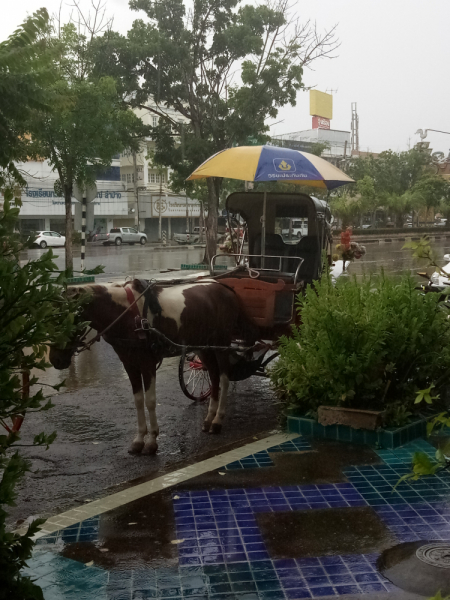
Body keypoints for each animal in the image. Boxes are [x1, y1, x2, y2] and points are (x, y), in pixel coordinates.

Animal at [48, 278, 256, 458]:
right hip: (204, 346)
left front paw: (152, 441)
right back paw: (209, 419)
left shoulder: (147, 364)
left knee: (224, 379)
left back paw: (218, 420)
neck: (126, 314)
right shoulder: (130, 364)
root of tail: (224, 287)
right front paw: (139, 440)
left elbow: (150, 401)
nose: (55, 360)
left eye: (67, 320)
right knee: (213, 377)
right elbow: (139, 400)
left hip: (221, 344)